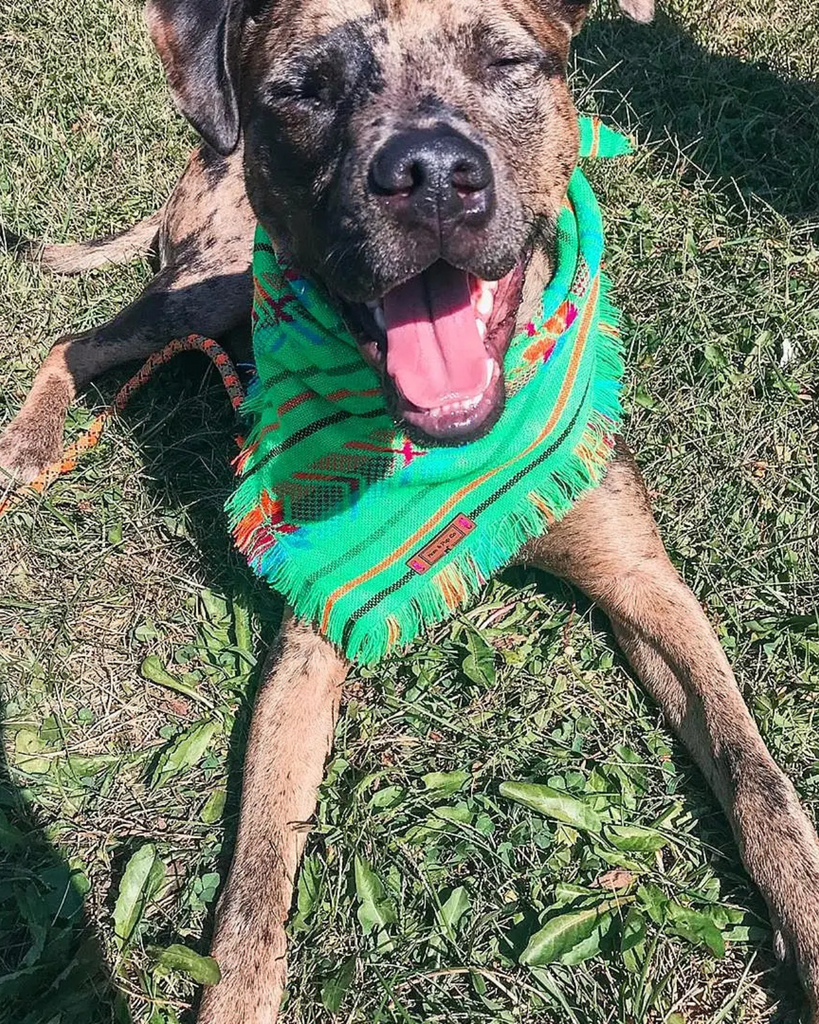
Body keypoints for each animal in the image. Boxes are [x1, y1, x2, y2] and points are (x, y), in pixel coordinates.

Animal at [1, 2, 818, 1024]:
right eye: (303, 89)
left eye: (507, 61)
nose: (429, 174)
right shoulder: (311, 632)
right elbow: (258, 867)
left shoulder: (641, 582)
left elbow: (756, 776)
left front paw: (809, 924)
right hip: (214, 283)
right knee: (79, 341)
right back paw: (31, 437)